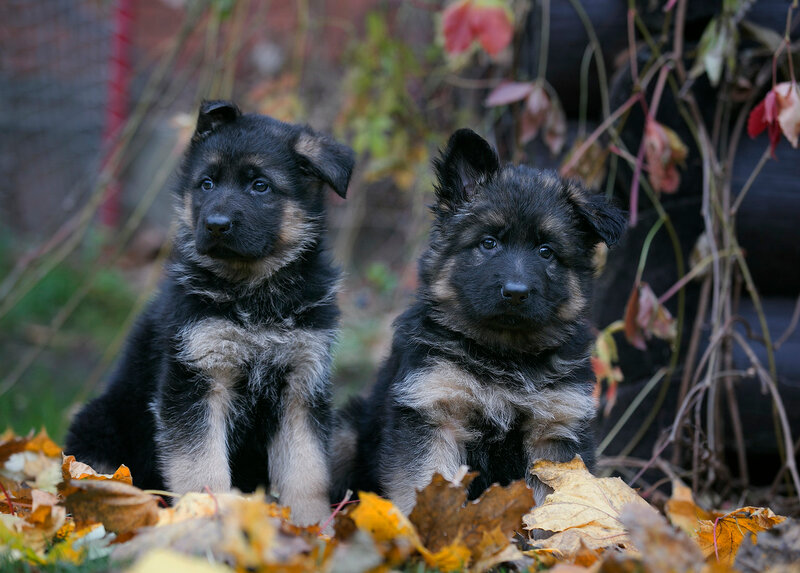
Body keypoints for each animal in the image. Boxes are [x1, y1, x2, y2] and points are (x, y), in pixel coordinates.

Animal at [67, 100, 354, 524]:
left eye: (260, 186)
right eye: (206, 184)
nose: (216, 225)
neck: (254, 294)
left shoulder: (302, 386)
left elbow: (307, 471)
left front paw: (314, 529)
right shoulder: (195, 381)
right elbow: (201, 466)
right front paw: (208, 516)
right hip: (101, 421)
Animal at [332, 128, 624, 510]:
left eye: (546, 251)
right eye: (488, 243)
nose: (515, 293)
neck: (503, 355)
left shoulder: (556, 430)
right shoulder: (434, 413)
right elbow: (425, 487)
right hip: (344, 433)